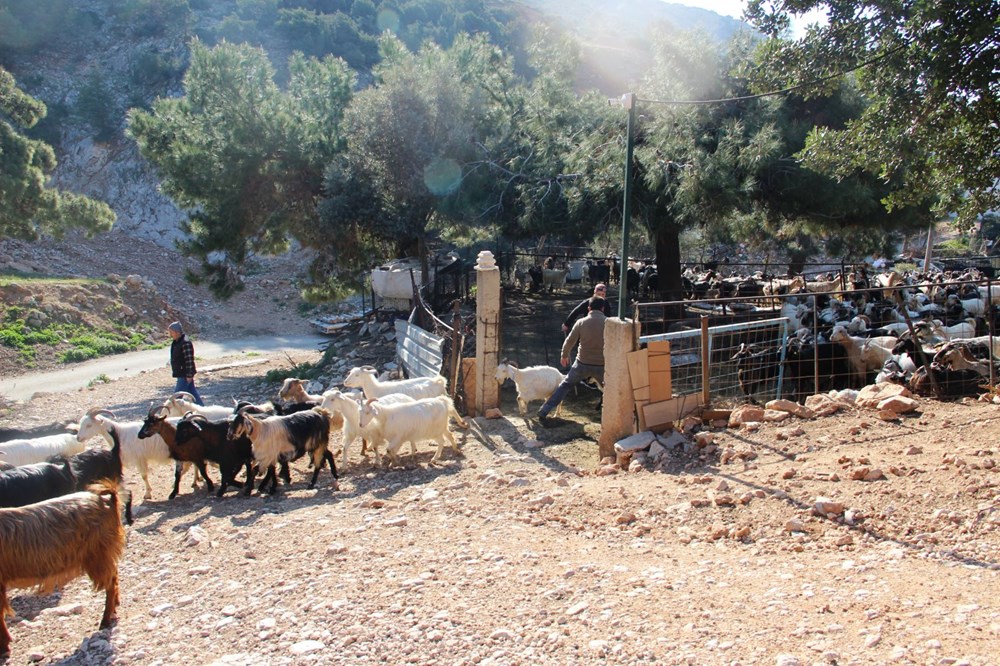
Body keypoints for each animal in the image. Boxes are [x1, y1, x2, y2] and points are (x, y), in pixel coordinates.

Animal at [0, 478, 126, 652]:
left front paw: (4, 647)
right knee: (114, 576)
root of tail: (107, 499)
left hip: (97, 555)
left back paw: (105, 620)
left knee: (110, 583)